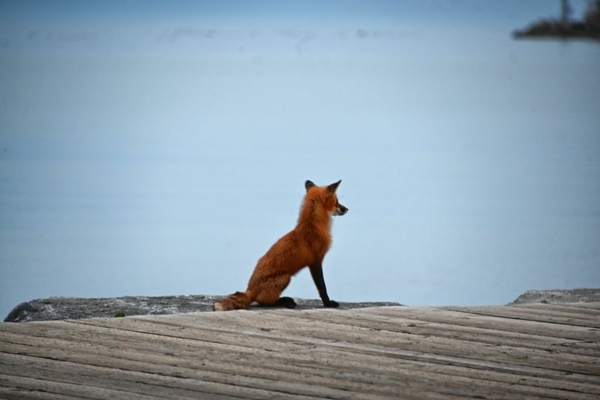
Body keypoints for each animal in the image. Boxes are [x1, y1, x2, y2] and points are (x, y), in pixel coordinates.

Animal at [214, 180, 346, 310]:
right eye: (337, 201)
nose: (347, 209)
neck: (313, 225)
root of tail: (249, 290)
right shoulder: (315, 262)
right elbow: (322, 288)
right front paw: (328, 304)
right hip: (285, 278)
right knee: (264, 302)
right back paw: (284, 301)